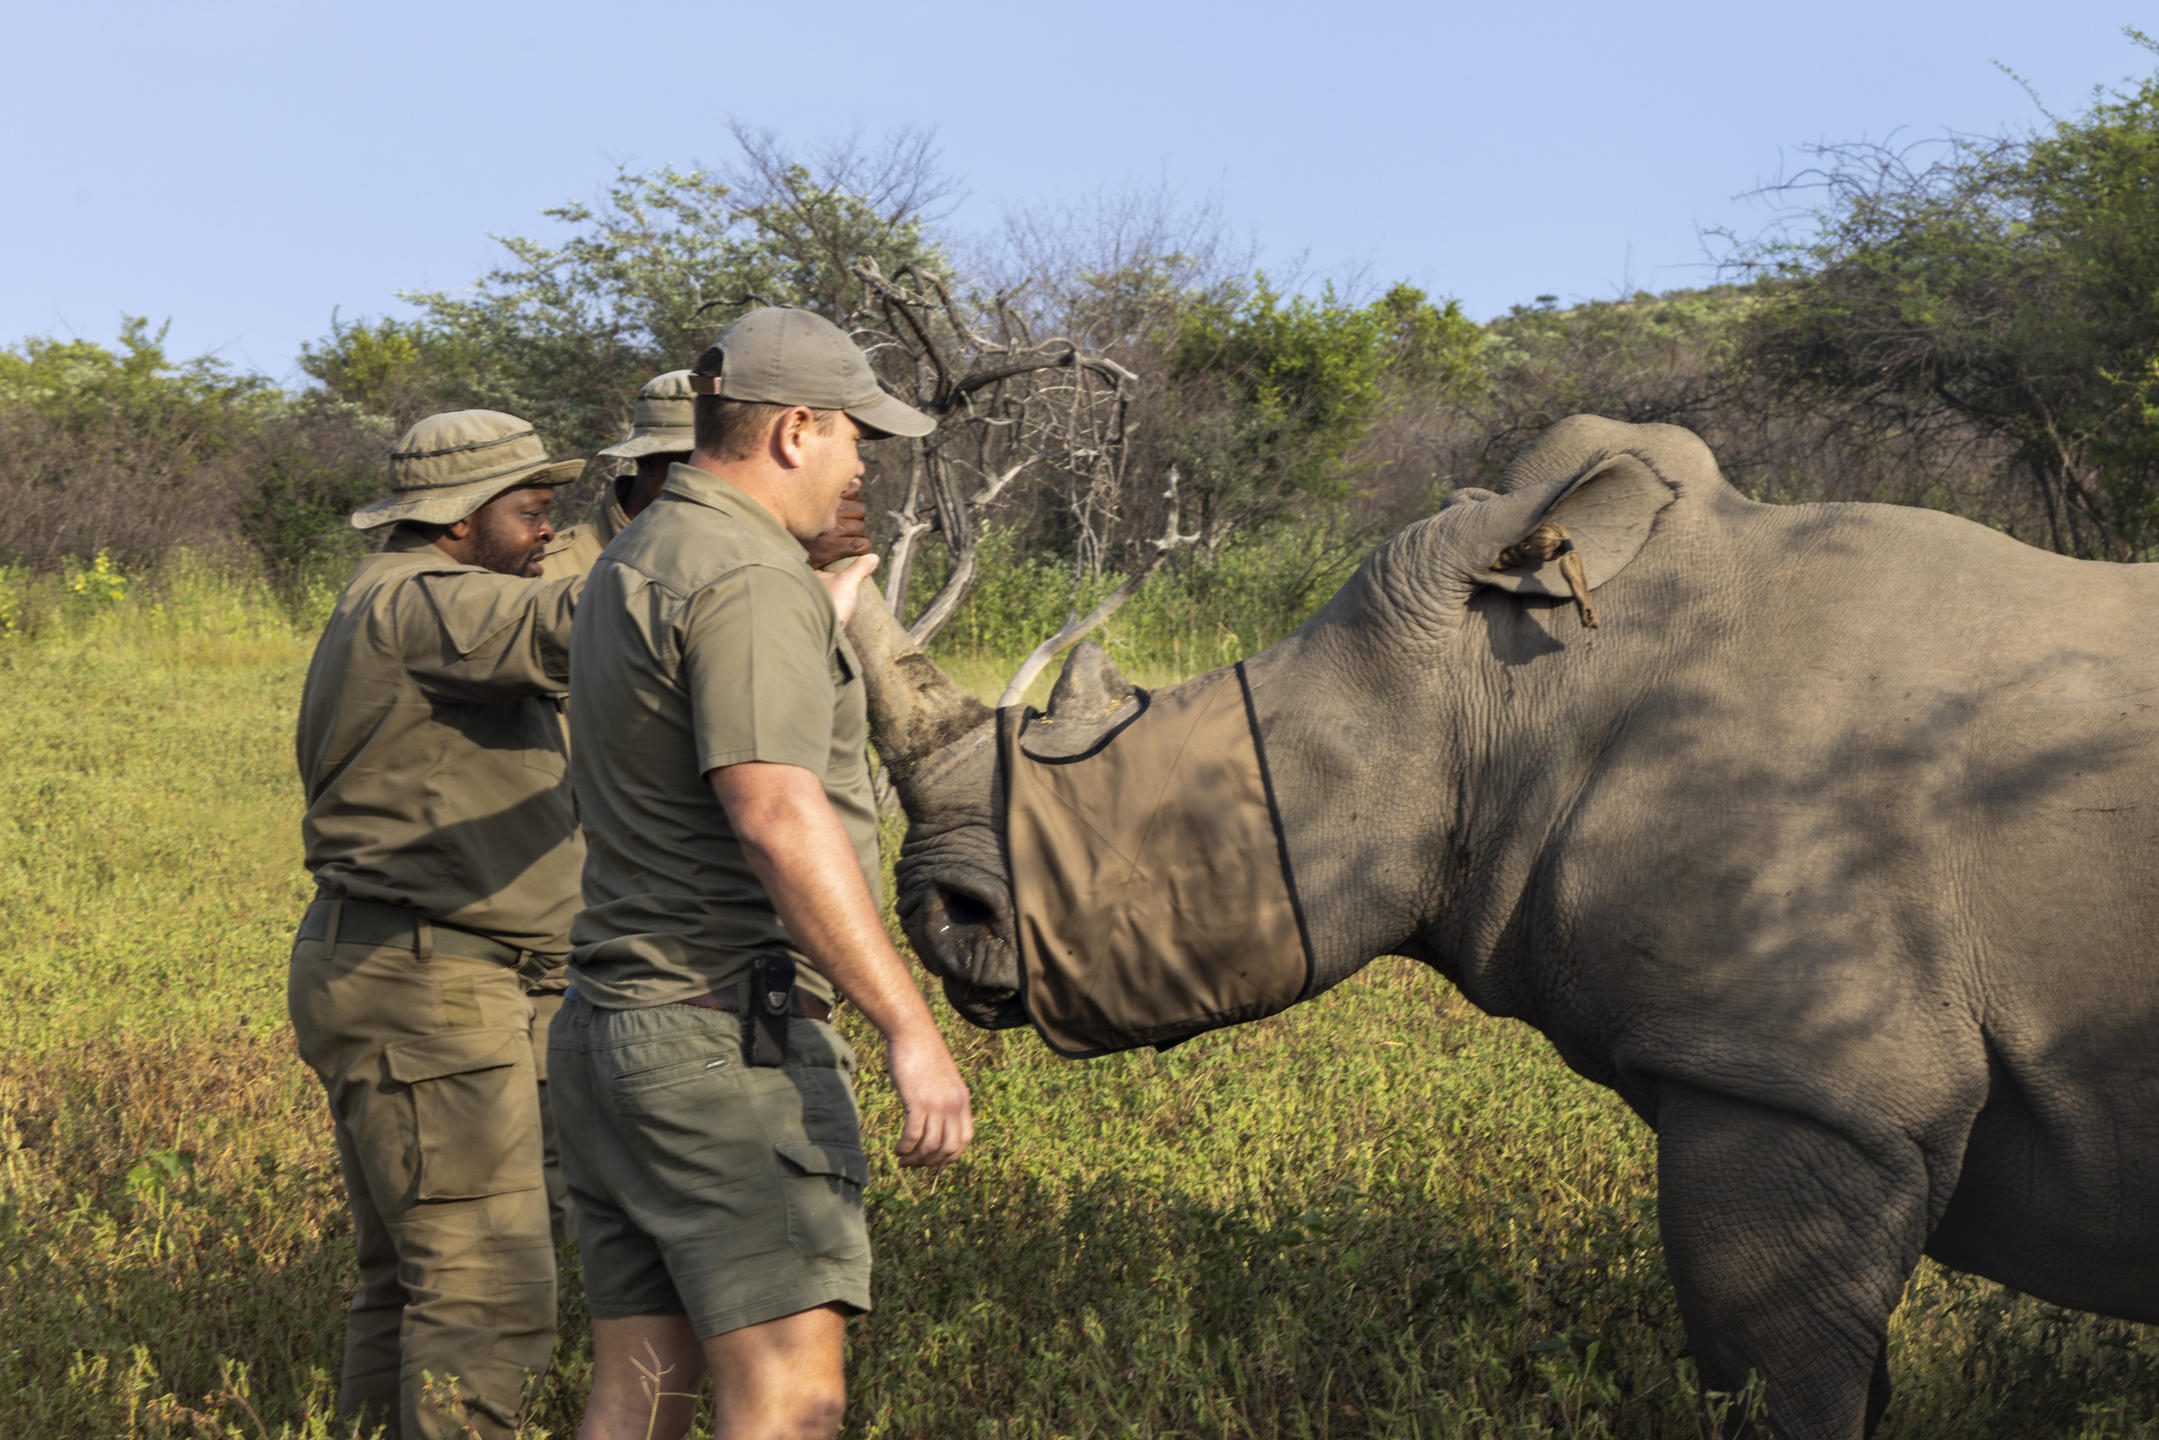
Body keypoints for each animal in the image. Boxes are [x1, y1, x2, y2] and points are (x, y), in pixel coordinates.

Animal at [846, 415, 2159, 1438]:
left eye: (1174, 802)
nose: (935, 910)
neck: (1527, 688)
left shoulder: (1799, 1083)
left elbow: (1779, 1382)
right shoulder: (1809, 1088)